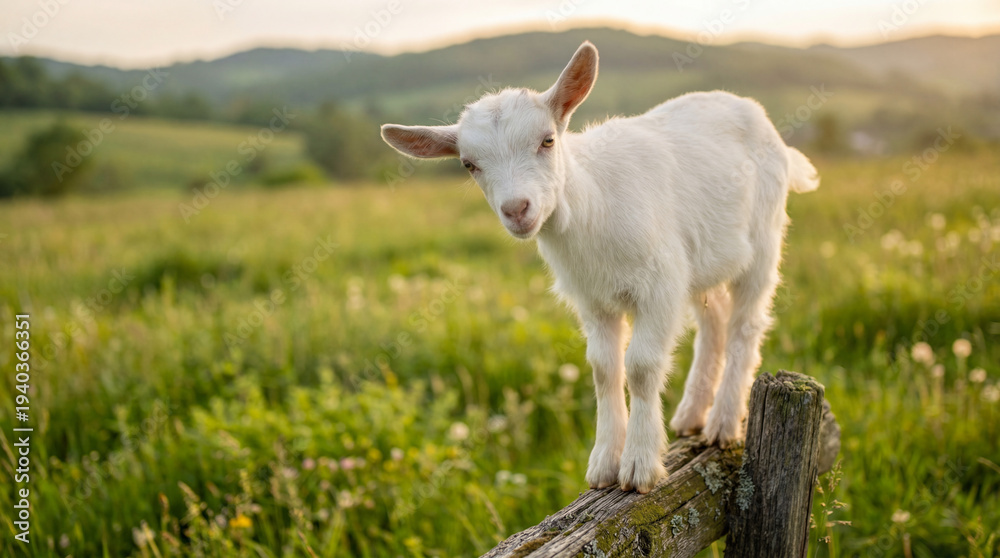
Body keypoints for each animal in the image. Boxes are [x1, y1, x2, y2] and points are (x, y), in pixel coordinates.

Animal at [380, 41, 819, 493]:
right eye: (469, 164)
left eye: (548, 140)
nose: (517, 210)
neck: (590, 207)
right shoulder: (593, 301)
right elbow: (604, 369)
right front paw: (604, 464)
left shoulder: (659, 287)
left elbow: (641, 367)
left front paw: (639, 466)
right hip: (703, 263)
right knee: (713, 324)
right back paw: (692, 416)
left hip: (763, 242)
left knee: (745, 327)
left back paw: (723, 423)